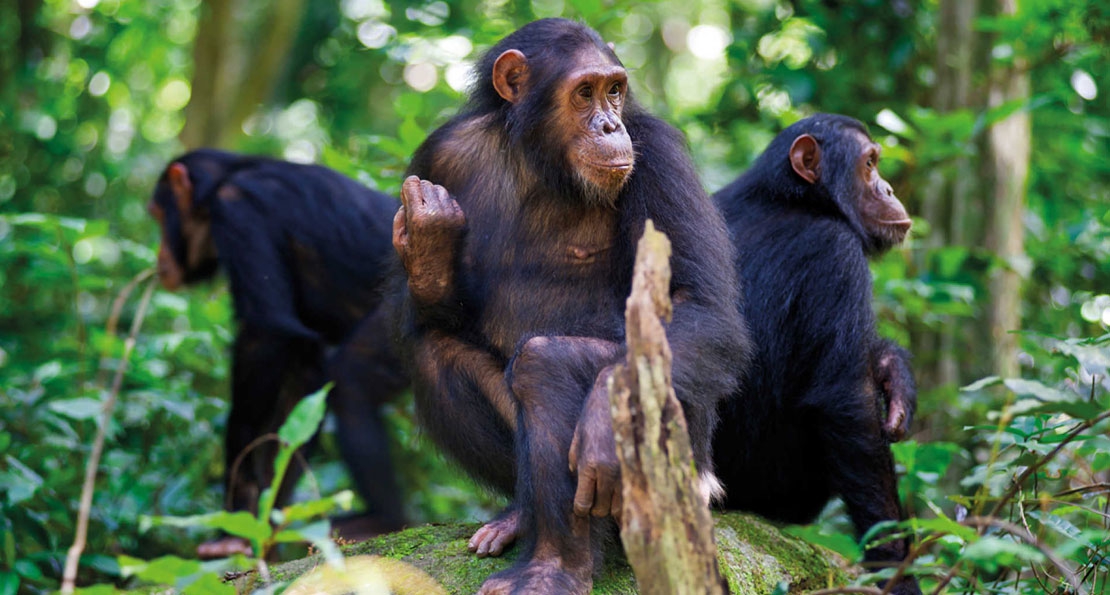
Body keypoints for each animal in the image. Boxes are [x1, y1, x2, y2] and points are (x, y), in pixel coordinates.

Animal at [147, 149, 408, 557]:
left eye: (158, 214)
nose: (158, 256)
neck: (221, 183)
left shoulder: (238, 211)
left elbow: (266, 334)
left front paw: (236, 509)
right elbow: (302, 380)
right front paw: (260, 526)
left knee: (351, 380)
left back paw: (383, 520)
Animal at [384, 18, 745, 595]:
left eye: (615, 90)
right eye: (584, 93)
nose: (609, 125)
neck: (539, 158)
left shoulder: (659, 155)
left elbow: (701, 304)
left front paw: (600, 426)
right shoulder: (437, 156)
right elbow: (425, 316)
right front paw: (429, 244)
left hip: (686, 469)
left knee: (546, 363)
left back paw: (554, 569)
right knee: (436, 352)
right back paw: (519, 521)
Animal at [710, 112, 919, 595]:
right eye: (869, 164)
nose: (889, 189)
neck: (795, 199)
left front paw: (894, 371)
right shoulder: (836, 254)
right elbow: (848, 405)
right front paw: (897, 569)